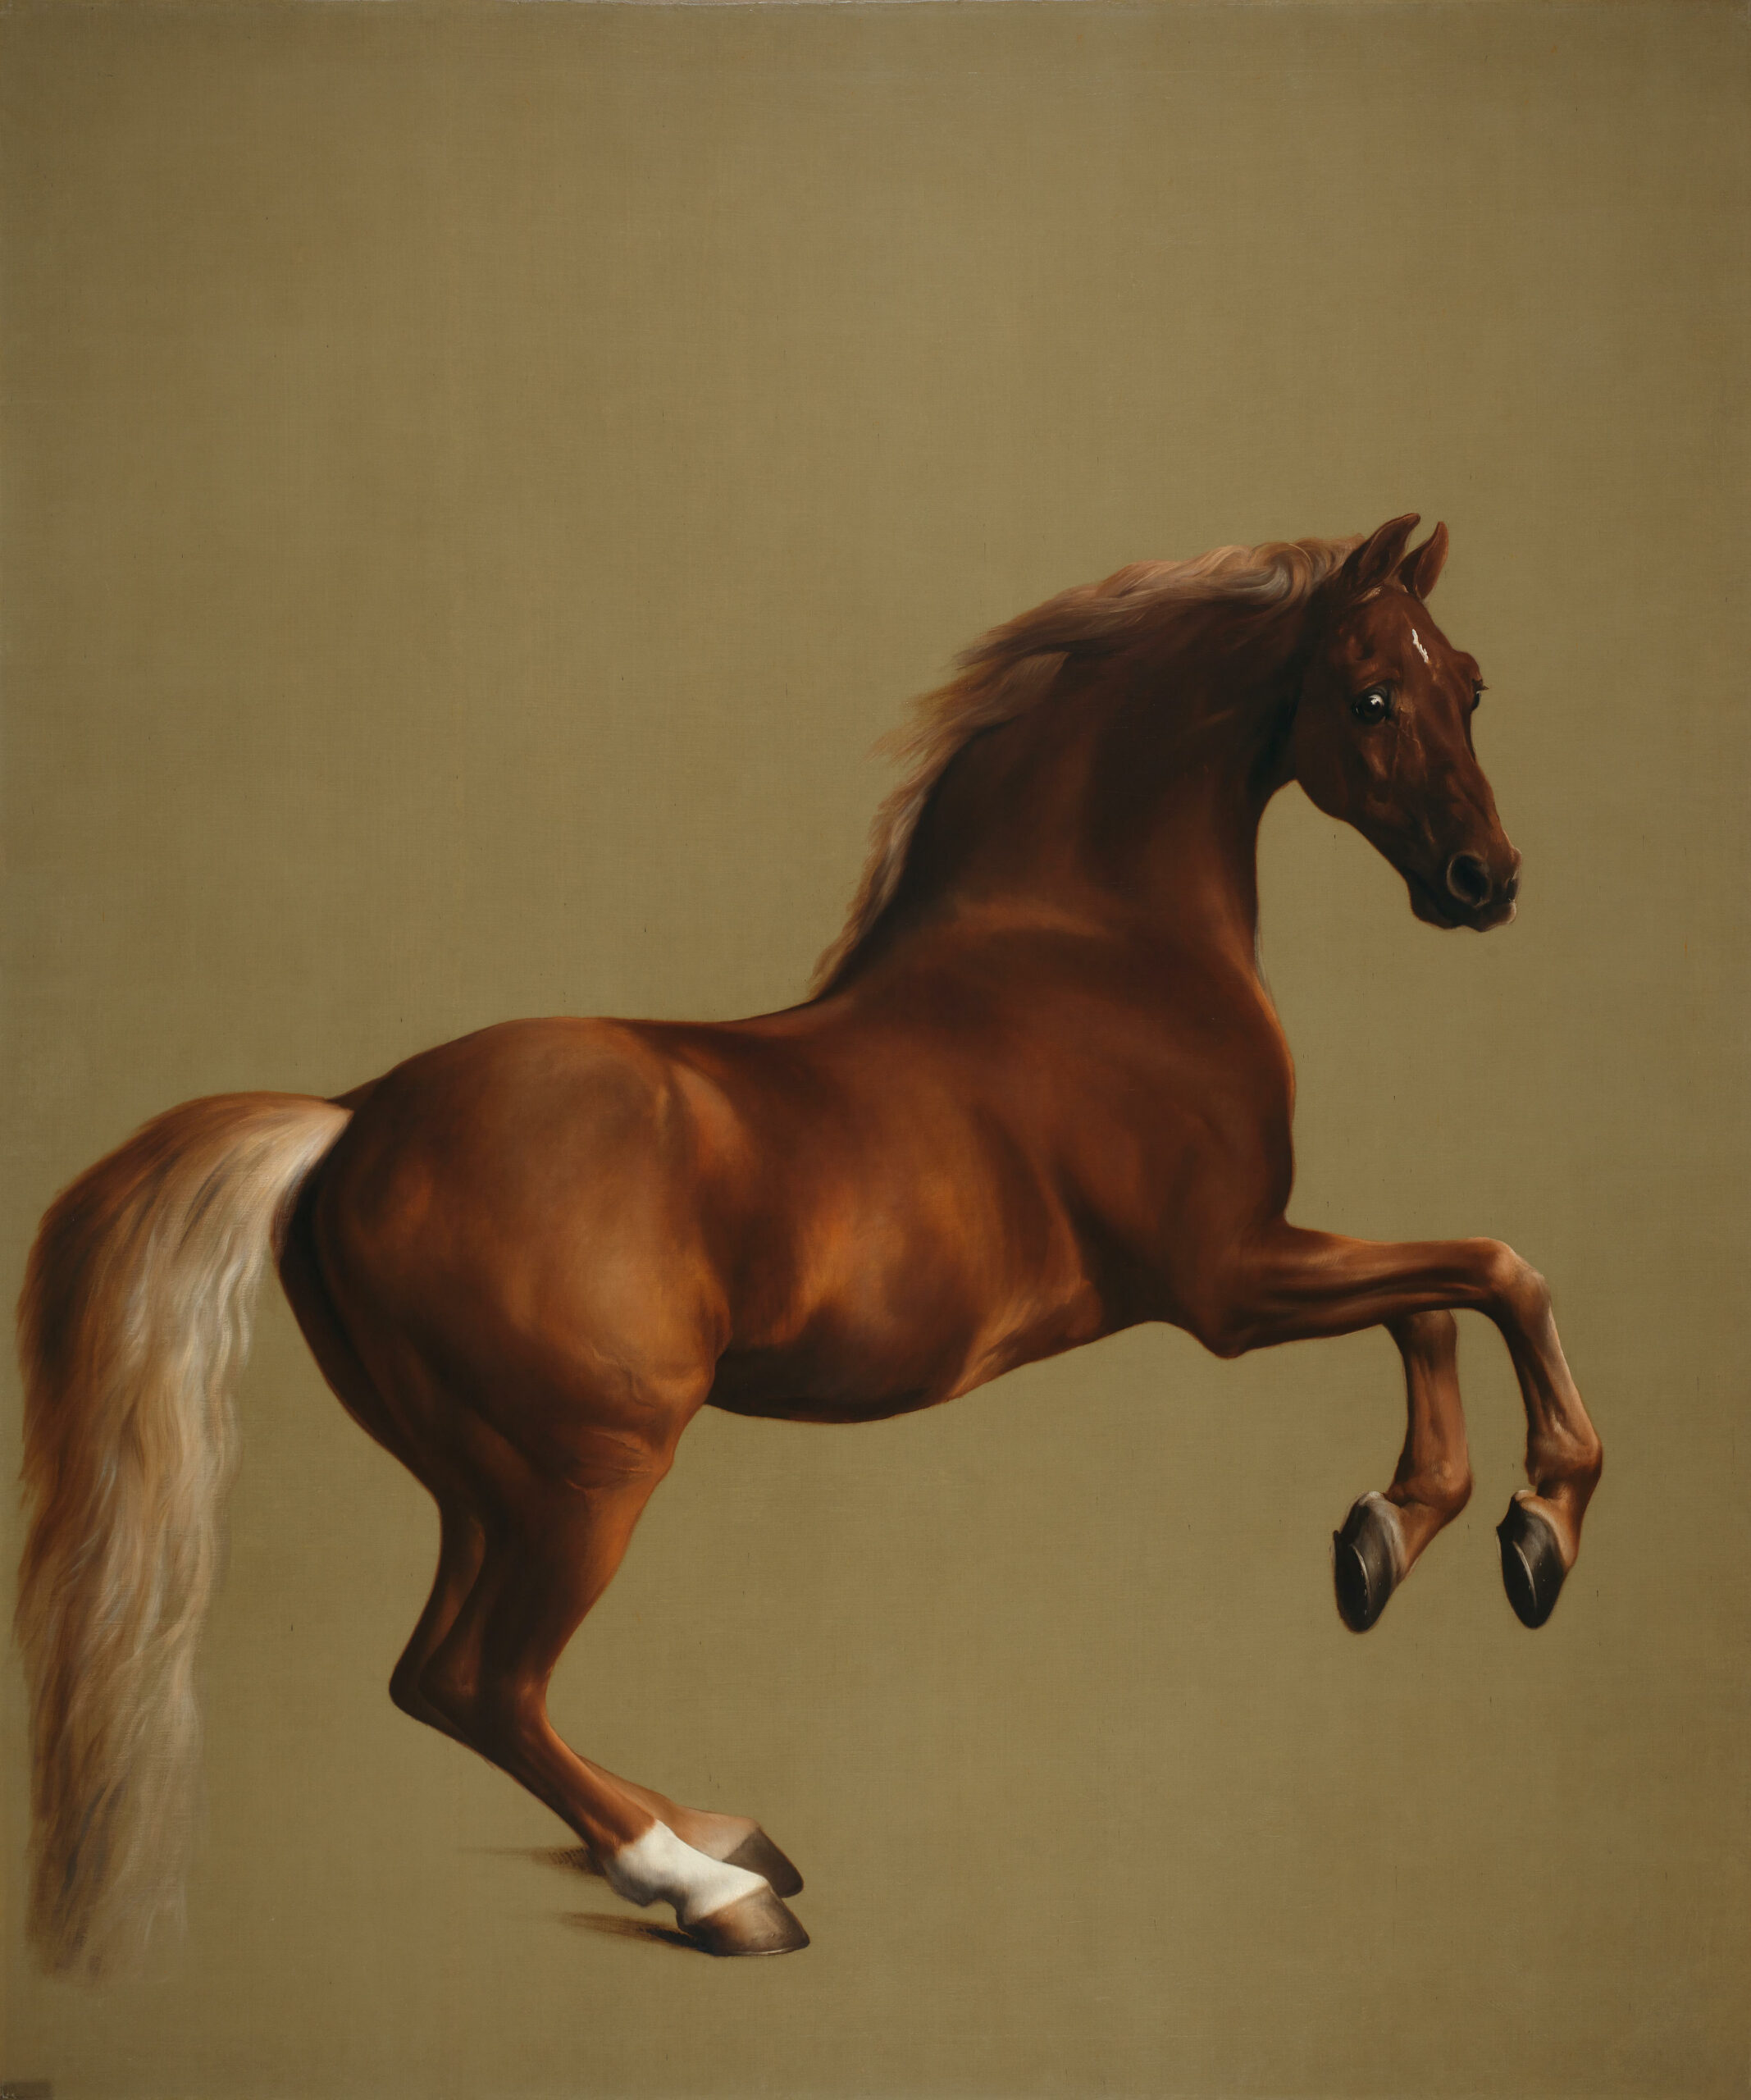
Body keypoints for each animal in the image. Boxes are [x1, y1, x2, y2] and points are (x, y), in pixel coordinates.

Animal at [16, 513, 1603, 1977]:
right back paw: (709, 1888)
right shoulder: (1229, 1279)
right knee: (475, 1681)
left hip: (483, 1481)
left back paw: (716, 1835)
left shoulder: (1262, 1265)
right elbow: (1492, 1269)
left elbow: (1439, 1301)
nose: (1485, 880)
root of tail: (350, 1121)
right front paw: (1535, 1528)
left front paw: (1386, 1536)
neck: (1095, 953)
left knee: (447, 1681)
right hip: (587, 1472)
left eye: (1468, 682)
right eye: (1370, 697)